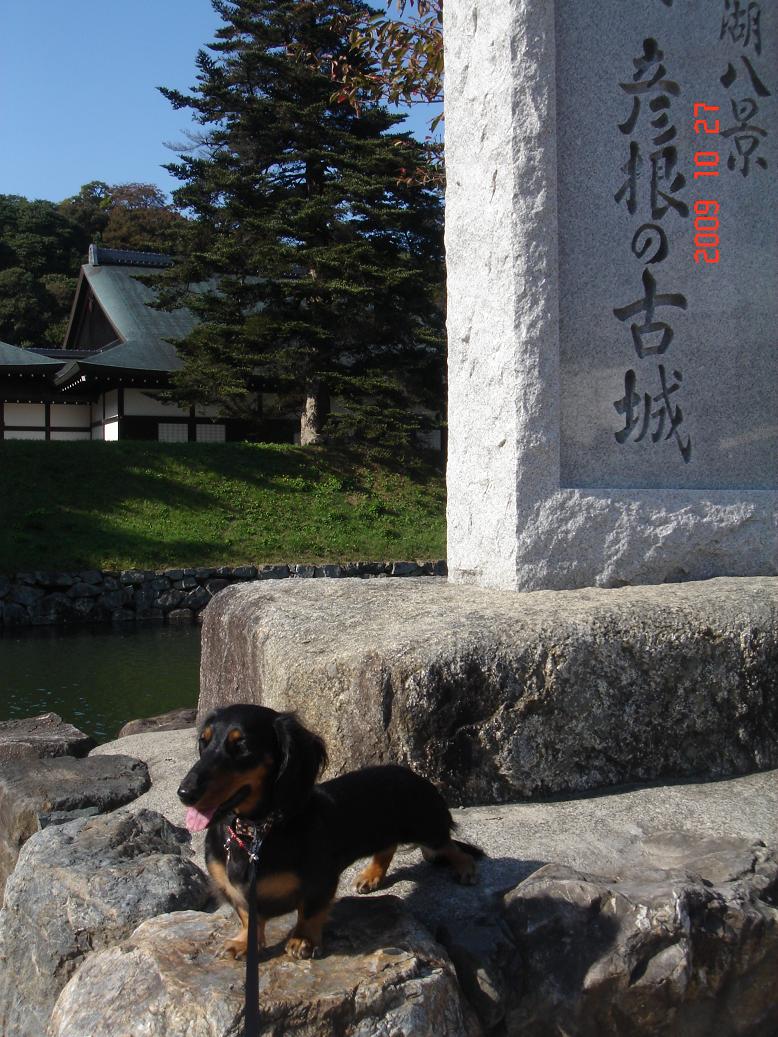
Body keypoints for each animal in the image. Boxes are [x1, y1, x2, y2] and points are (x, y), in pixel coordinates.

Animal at [177, 703, 484, 960]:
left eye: (241, 745)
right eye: (203, 742)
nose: (185, 793)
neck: (254, 833)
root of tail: (414, 776)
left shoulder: (320, 881)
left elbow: (310, 911)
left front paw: (303, 940)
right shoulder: (235, 891)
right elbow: (246, 916)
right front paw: (243, 942)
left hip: (426, 827)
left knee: (450, 846)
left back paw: (465, 869)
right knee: (388, 847)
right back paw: (371, 876)